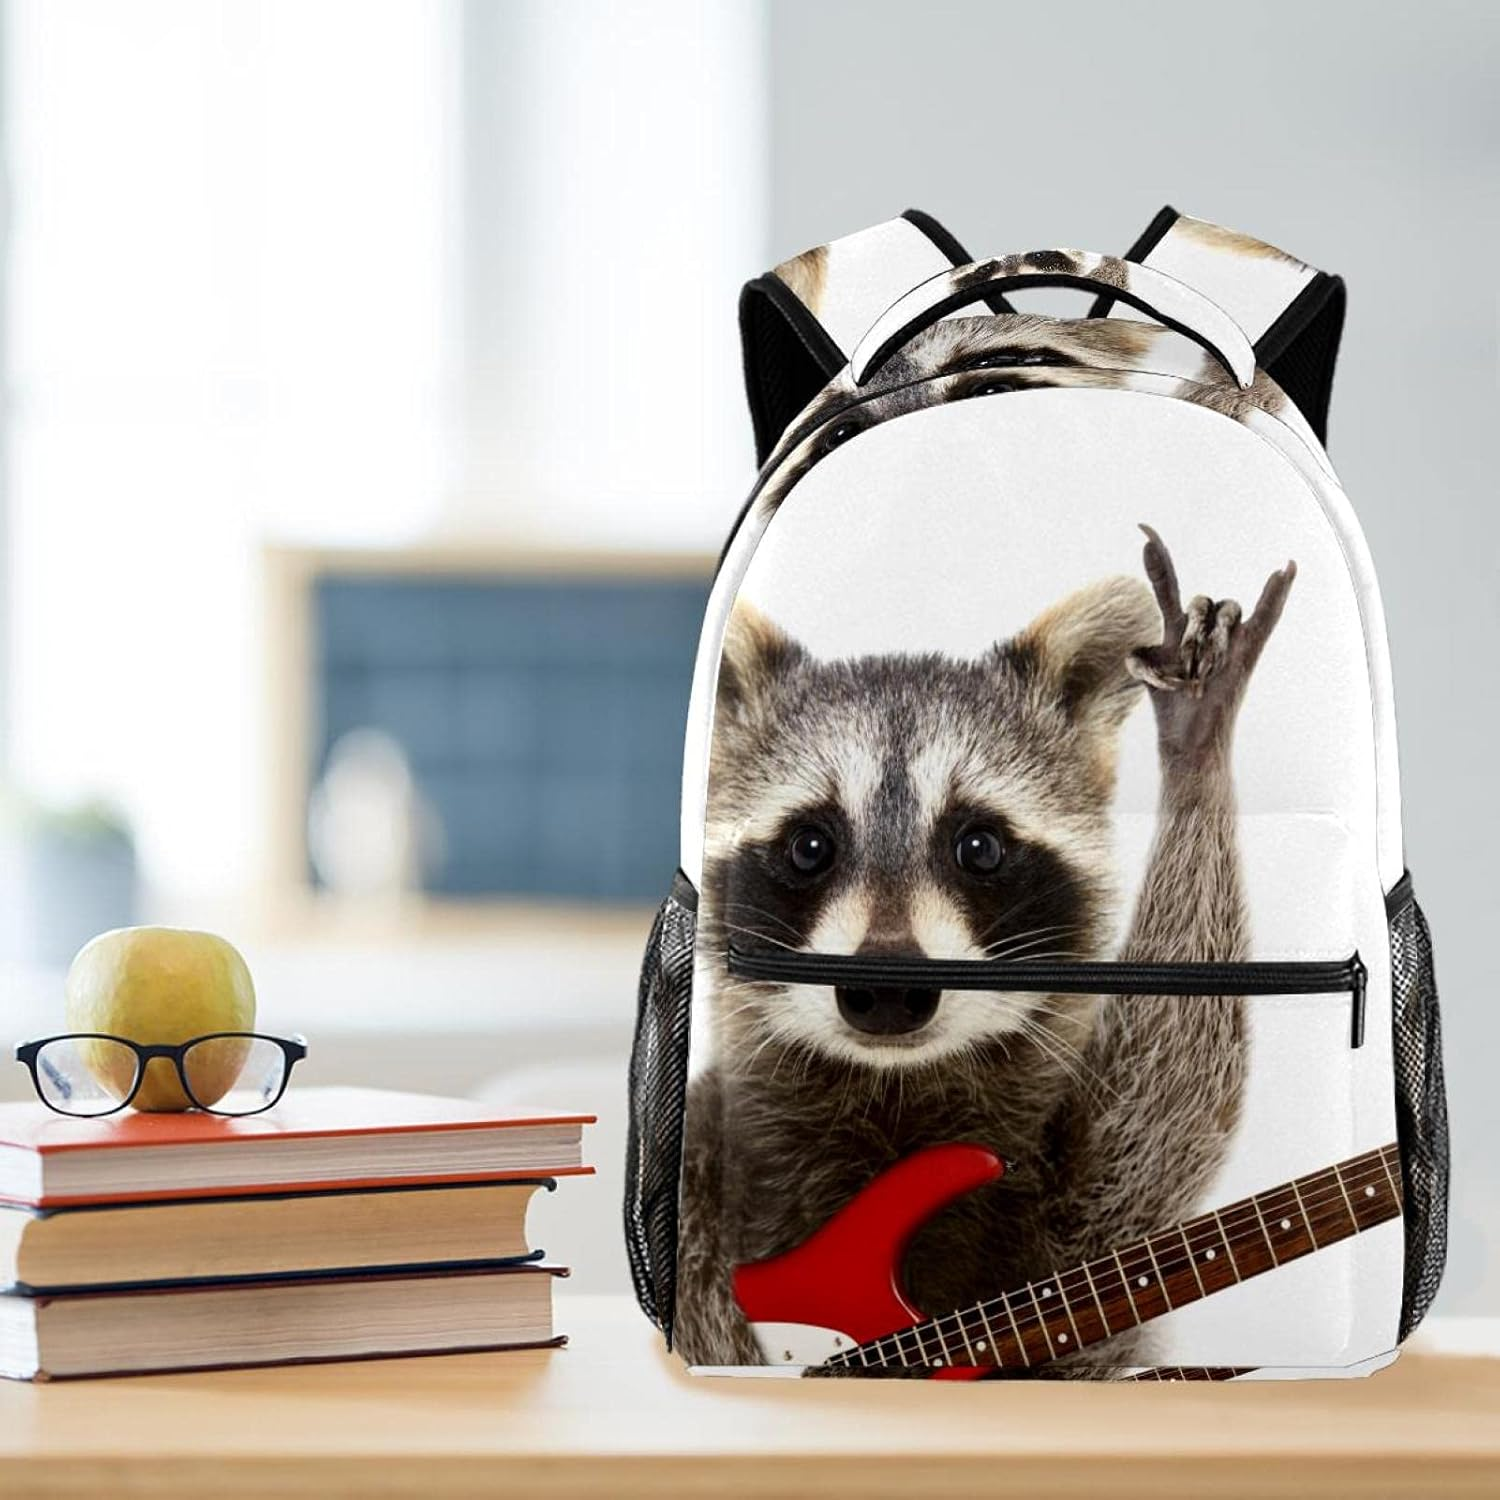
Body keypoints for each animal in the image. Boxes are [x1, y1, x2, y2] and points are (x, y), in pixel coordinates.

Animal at [674, 527, 1296, 1374]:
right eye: (809, 846)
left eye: (980, 846)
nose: (889, 989)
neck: (895, 1089)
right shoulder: (714, 1174)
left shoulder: (1074, 1232)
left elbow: (1162, 1117)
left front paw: (1198, 751)